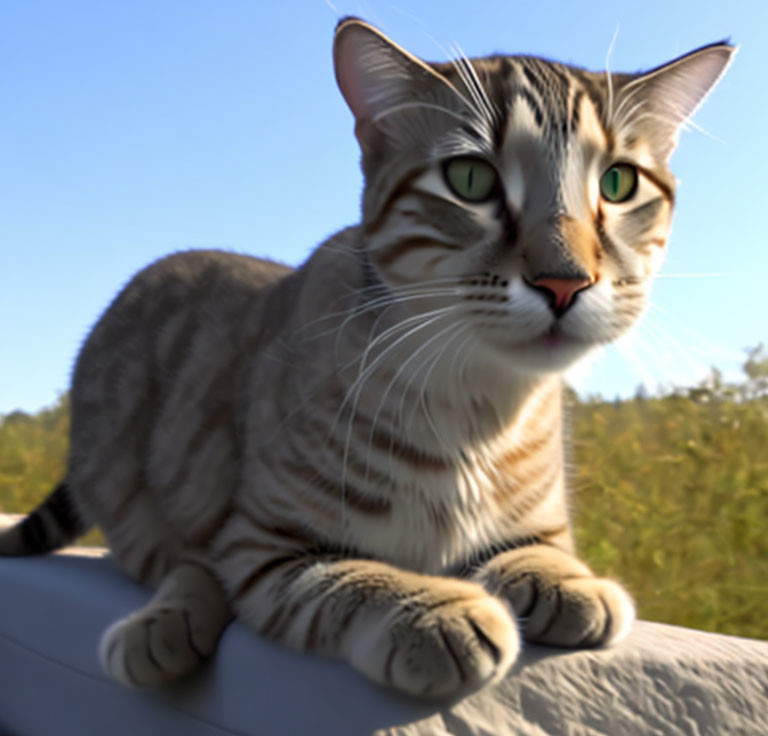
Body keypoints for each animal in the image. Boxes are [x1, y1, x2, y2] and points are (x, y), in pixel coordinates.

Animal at [0, 15, 732, 696]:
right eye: (471, 179)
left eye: (618, 183)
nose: (564, 282)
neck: (479, 412)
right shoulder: (266, 545)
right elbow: (349, 576)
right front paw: (434, 608)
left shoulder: (543, 528)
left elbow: (539, 552)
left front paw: (565, 582)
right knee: (187, 562)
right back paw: (162, 627)